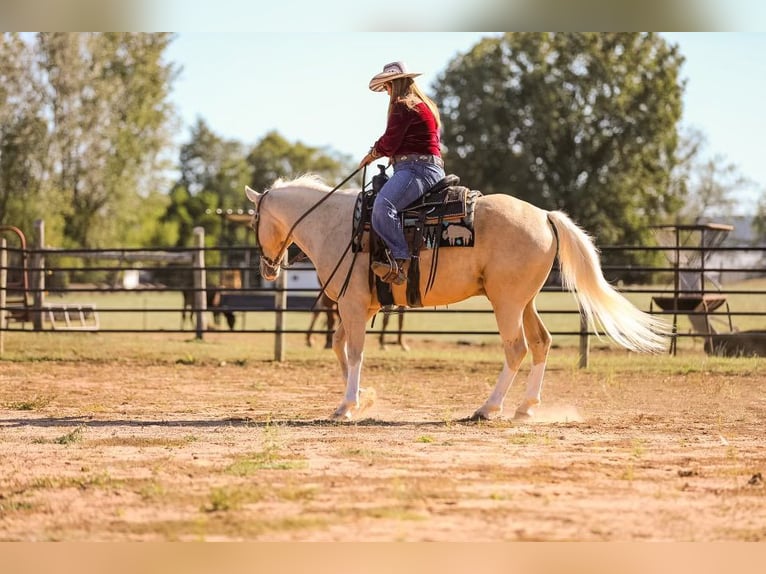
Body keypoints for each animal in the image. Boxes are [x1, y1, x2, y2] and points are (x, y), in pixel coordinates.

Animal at [245, 174, 668, 421]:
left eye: (253, 220)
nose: (267, 268)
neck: (335, 223)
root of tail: (545, 216)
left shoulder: (351, 305)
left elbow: (353, 352)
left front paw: (347, 406)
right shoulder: (360, 308)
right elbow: (340, 347)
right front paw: (362, 397)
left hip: (506, 303)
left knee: (516, 348)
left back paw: (488, 407)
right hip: (525, 302)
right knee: (541, 343)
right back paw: (526, 407)